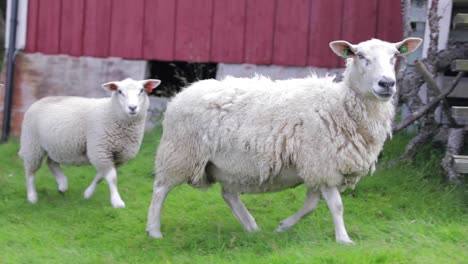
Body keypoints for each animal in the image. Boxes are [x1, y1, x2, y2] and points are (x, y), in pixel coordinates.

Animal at [18, 78, 161, 208]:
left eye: (141, 90)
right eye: (120, 91)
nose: (132, 108)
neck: (112, 112)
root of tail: (40, 100)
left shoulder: (117, 157)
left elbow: (100, 176)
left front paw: (87, 194)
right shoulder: (100, 150)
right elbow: (112, 177)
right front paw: (117, 201)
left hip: (57, 146)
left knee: (51, 163)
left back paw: (62, 185)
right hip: (32, 144)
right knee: (30, 172)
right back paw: (32, 197)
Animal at [147, 37, 424, 243]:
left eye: (394, 56)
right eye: (360, 56)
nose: (387, 83)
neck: (340, 105)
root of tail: (181, 94)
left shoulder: (318, 167)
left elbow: (311, 204)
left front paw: (283, 226)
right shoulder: (323, 162)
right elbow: (336, 205)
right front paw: (344, 239)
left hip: (230, 165)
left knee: (229, 194)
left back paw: (251, 227)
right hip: (180, 153)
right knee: (160, 190)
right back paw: (154, 231)